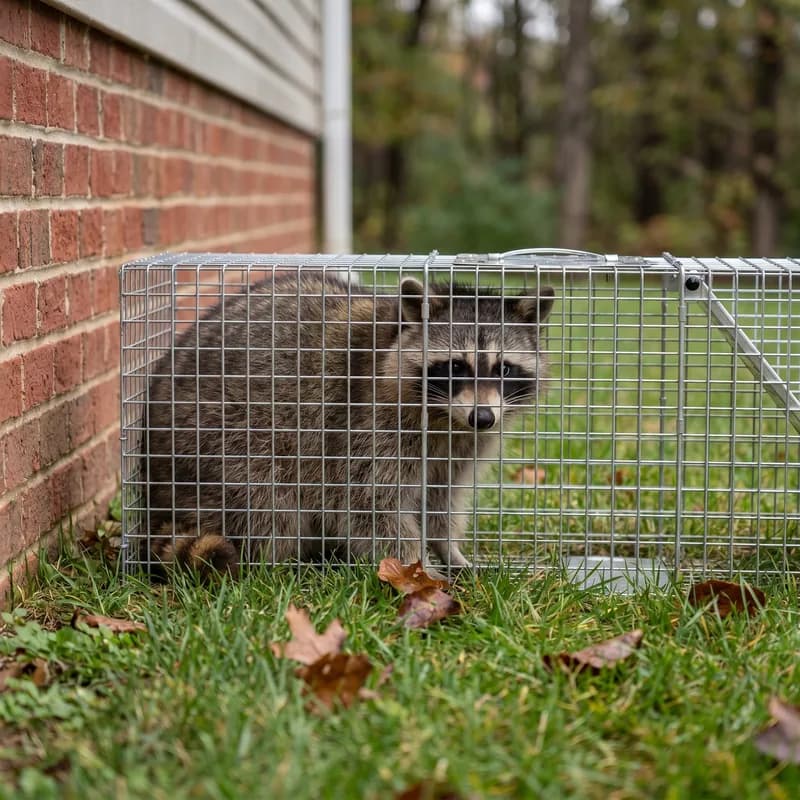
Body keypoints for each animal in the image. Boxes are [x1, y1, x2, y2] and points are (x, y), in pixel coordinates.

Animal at [144, 270, 554, 576]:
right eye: (455, 367)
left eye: (504, 369)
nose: (482, 417)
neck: (446, 418)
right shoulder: (363, 421)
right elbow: (367, 504)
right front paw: (418, 571)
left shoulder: (462, 446)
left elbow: (441, 499)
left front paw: (448, 551)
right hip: (219, 441)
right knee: (268, 503)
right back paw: (279, 564)